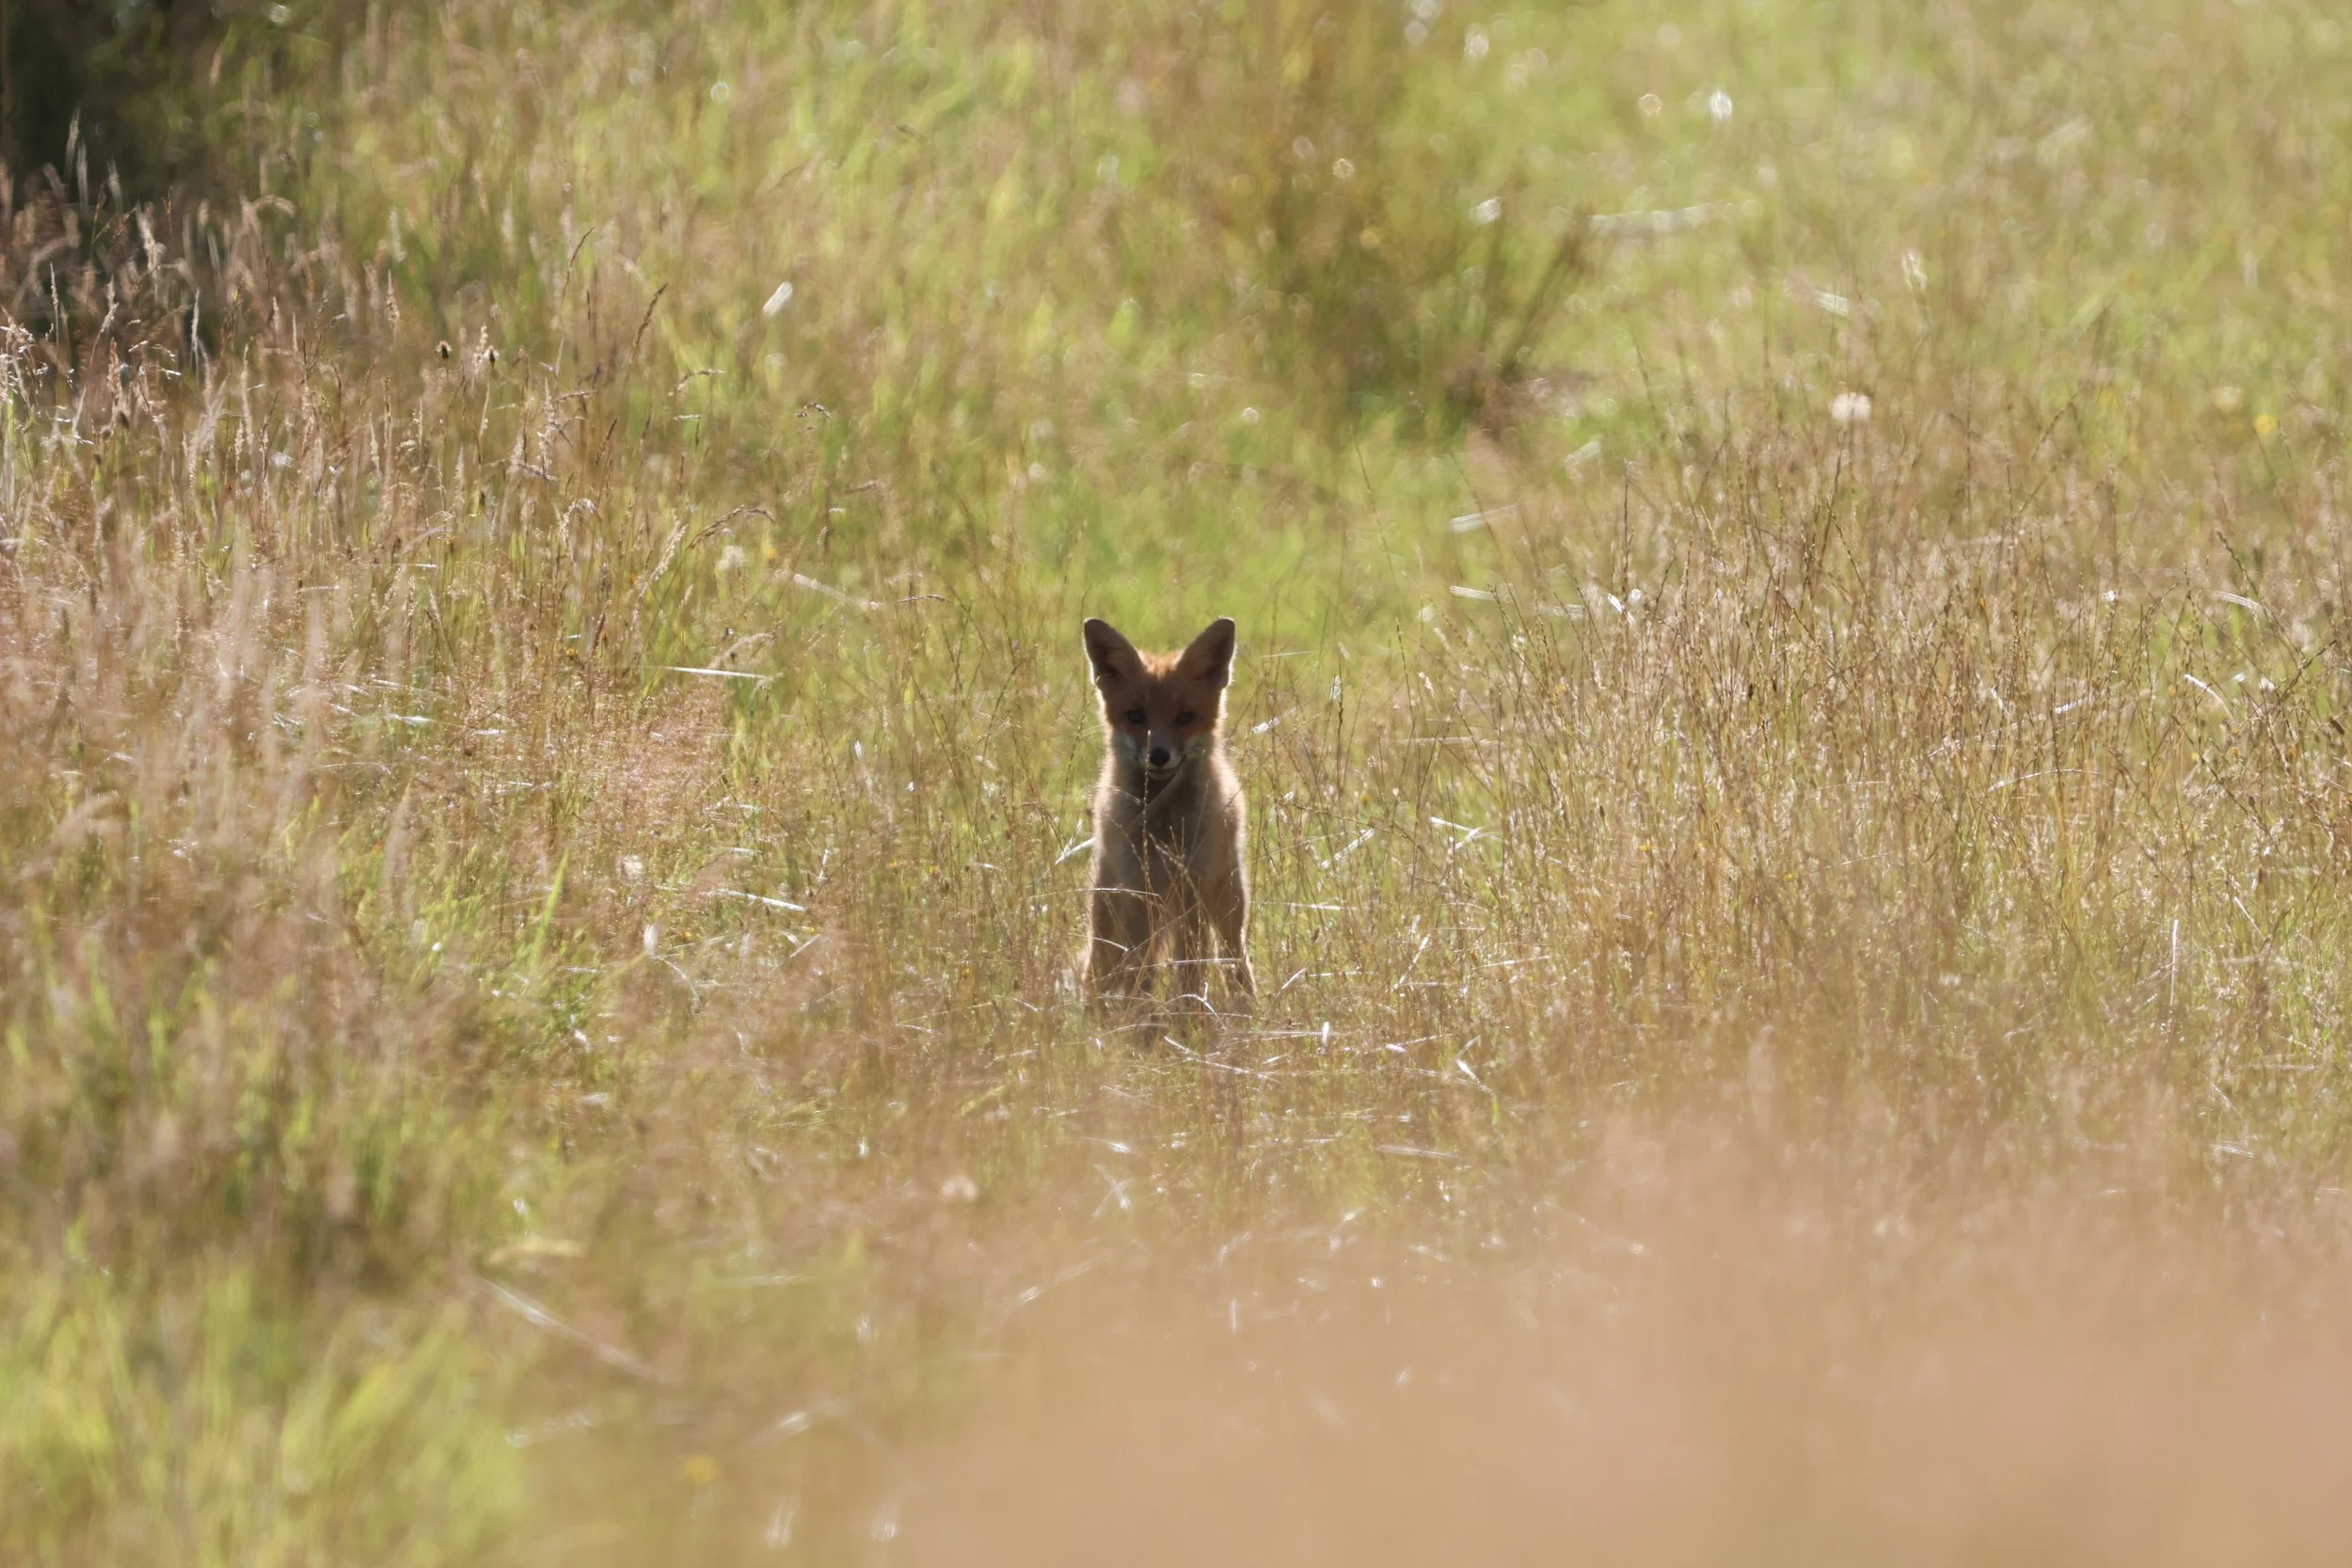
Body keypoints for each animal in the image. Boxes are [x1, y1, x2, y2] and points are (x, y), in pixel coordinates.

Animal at [1081, 615, 1257, 1012]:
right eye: (1135, 716)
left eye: (1185, 717)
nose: (1158, 755)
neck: (1163, 829)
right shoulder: (1139, 891)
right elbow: (1141, 969)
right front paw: (1139, 1015)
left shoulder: (1192, 892)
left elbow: (1190, 966)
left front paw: (1188, 1014)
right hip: (1107, 902)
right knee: (1099, 964)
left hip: (1228, 902)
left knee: (1233, 958)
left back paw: (1246, 1006)